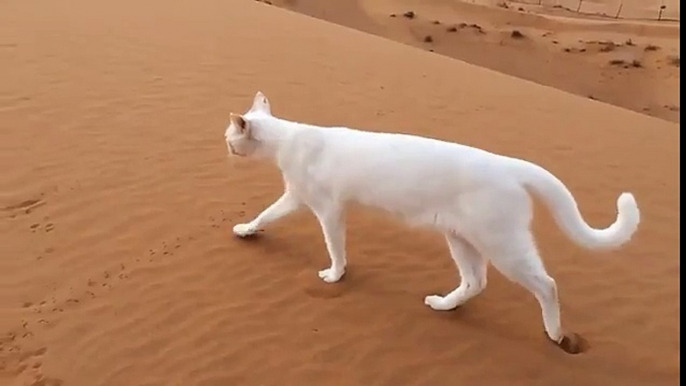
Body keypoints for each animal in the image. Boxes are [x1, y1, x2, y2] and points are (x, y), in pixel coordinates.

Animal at [228, 91, 644, 352]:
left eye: (231, 137)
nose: (225, 147)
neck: (288, 139)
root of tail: (510, 165)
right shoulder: (296, 197)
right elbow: (266, 214)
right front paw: (246, 229)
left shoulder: (328, 209)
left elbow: (335, 247)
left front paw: (334, 275)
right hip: (461, 239)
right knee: (476, 281)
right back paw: (445, 305)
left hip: (503, 244)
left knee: (548, 285)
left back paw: (556, 333)